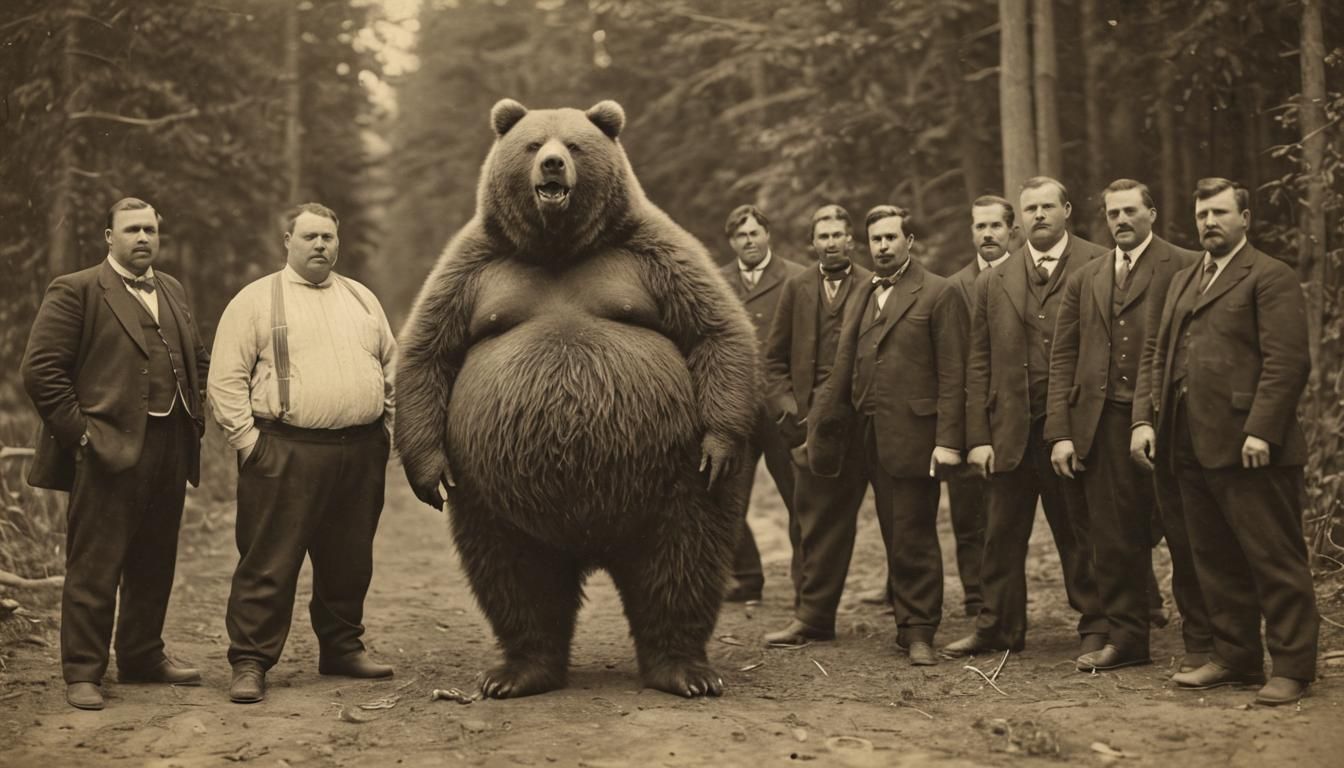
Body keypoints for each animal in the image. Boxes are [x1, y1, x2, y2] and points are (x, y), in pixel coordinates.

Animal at [394, 98, 759, 699]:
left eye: (575, 144)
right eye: (532, 143)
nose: (551, 166)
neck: (558, 246)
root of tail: (592, 542)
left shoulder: (653, 252)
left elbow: (715, 326)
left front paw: (721, 444)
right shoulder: (474, 268)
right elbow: (428, 350)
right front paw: (427, 474)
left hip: (669, 478)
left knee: (685, 556)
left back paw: (685, 669)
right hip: (495, 493)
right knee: (512, 573)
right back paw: (517, 672)